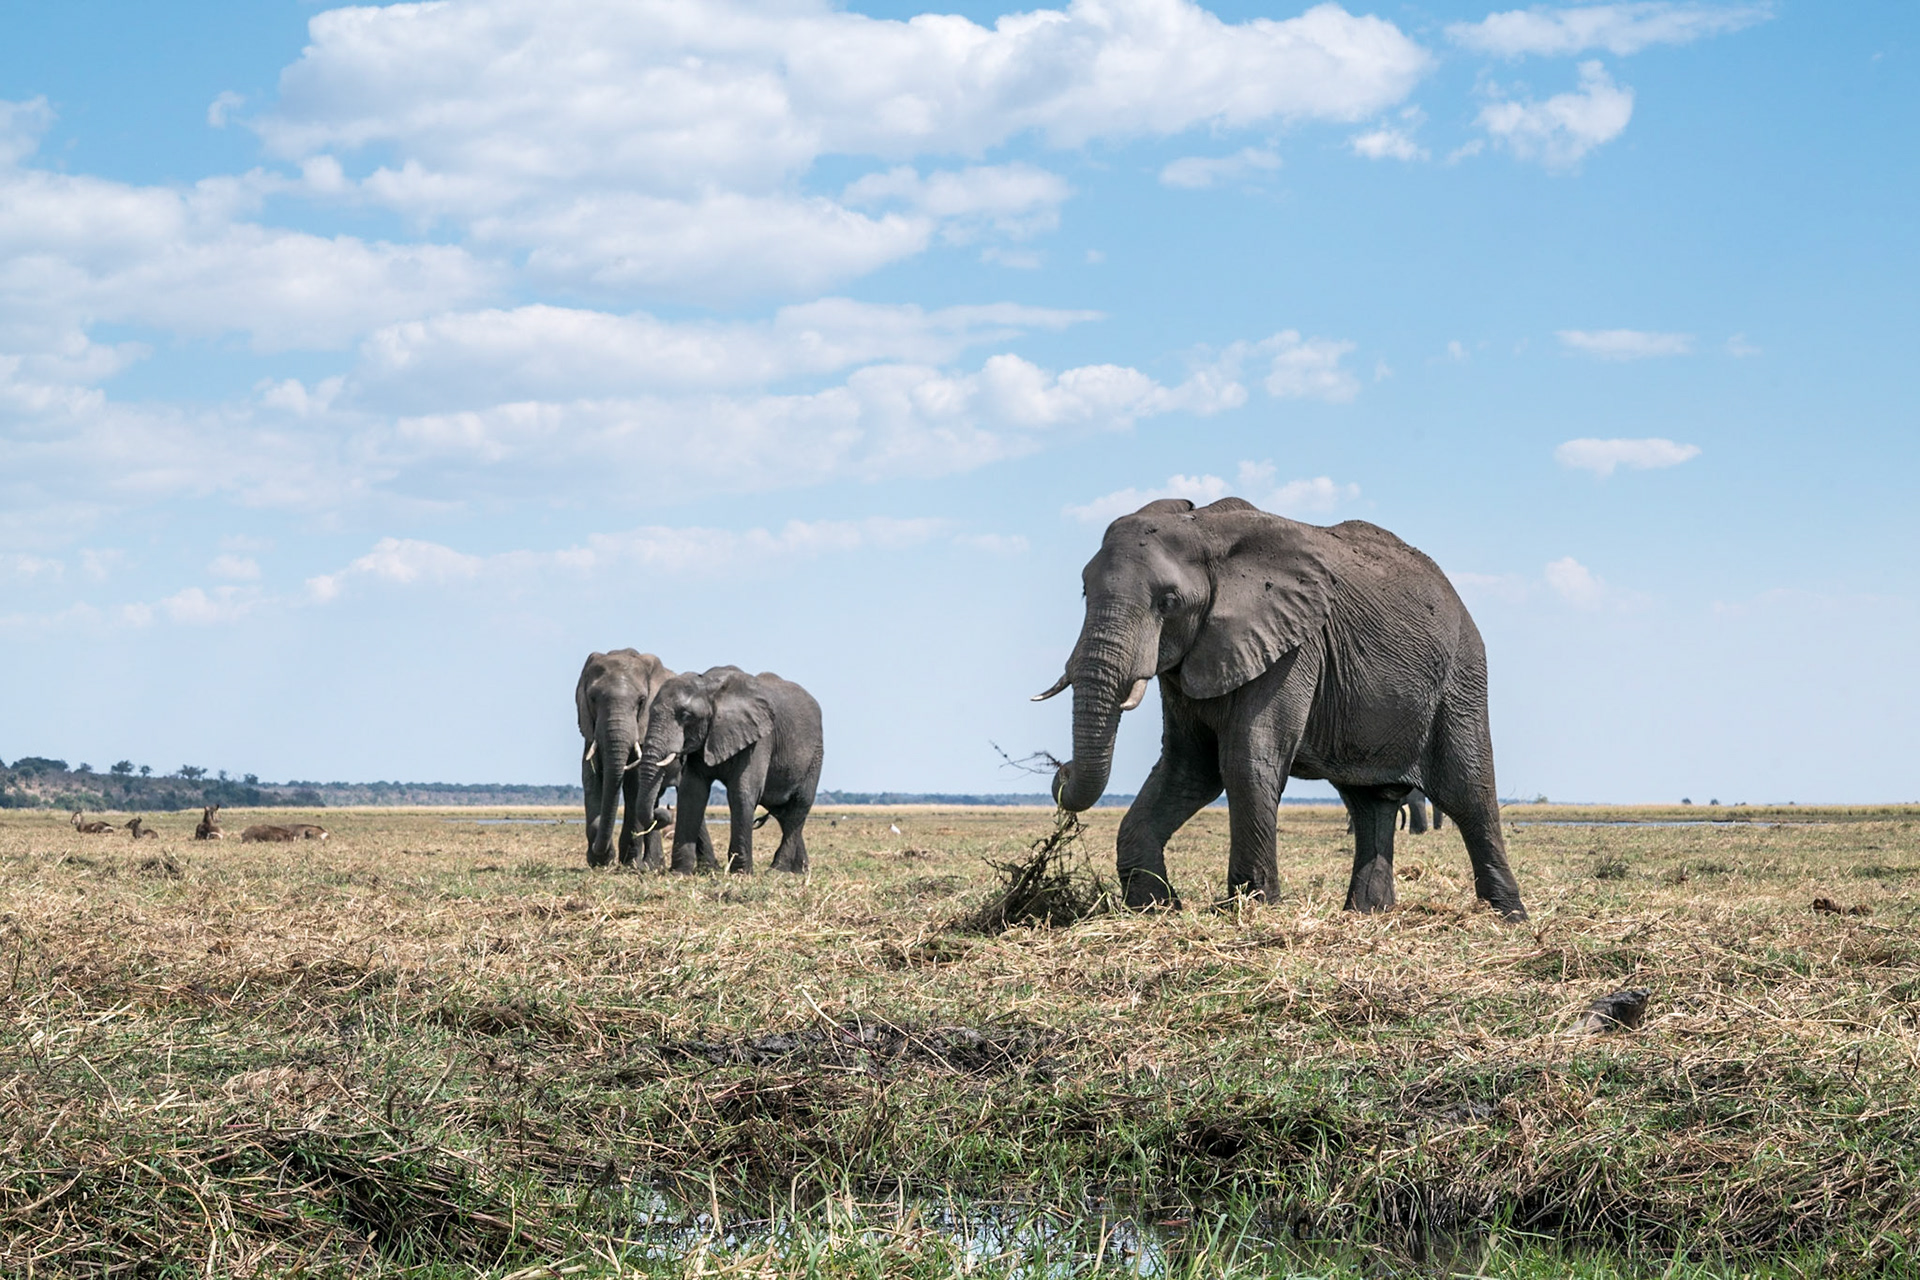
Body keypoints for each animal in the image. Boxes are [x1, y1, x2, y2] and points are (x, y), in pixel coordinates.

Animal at [632, 666, 823, 875]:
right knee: (782, 812)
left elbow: (742, 792)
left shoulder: (759, 738)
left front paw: (740, 873)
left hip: (815, 756)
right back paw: (800, 871)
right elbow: (692, 793)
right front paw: (679, 873)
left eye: (686, 716)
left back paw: (777, 870)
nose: (660, 810)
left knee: (798, 807)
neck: (708, 686)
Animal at [1036, 497, 1527, 920]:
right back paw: (1367, 915)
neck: (1204, 529)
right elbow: (1188, 768)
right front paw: (1154, 906)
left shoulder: (1295, 644)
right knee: (1369, 801)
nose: (1060, 771)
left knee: (1469, 791)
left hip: (1460, 674)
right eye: (1084, 591)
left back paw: (1507, 918)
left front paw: (1250, 908)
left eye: (1168, 602)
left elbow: (1245, 760)